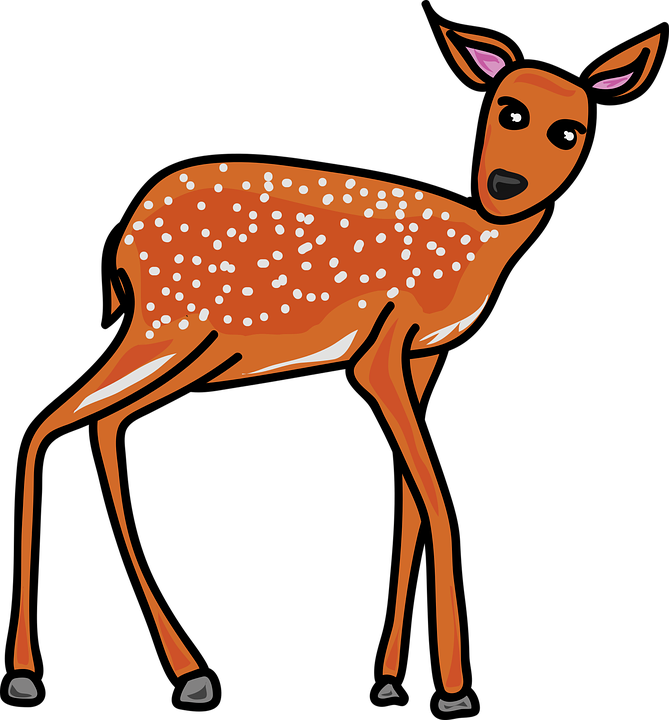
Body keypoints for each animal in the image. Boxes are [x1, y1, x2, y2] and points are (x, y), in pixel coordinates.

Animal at [9, 25, 660, 710]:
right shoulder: (380, 355)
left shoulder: (425, 356)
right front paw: (454, 688)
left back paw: (188, 669)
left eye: (570, 131)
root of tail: (124, 241)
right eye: (507, 110)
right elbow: (438, 501)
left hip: (206, 350)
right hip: (169, 323)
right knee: (47, 427)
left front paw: (390, 680)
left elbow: (409, 505)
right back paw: (28, 673)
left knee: (102, 425)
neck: (478, 246)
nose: (504, 184)